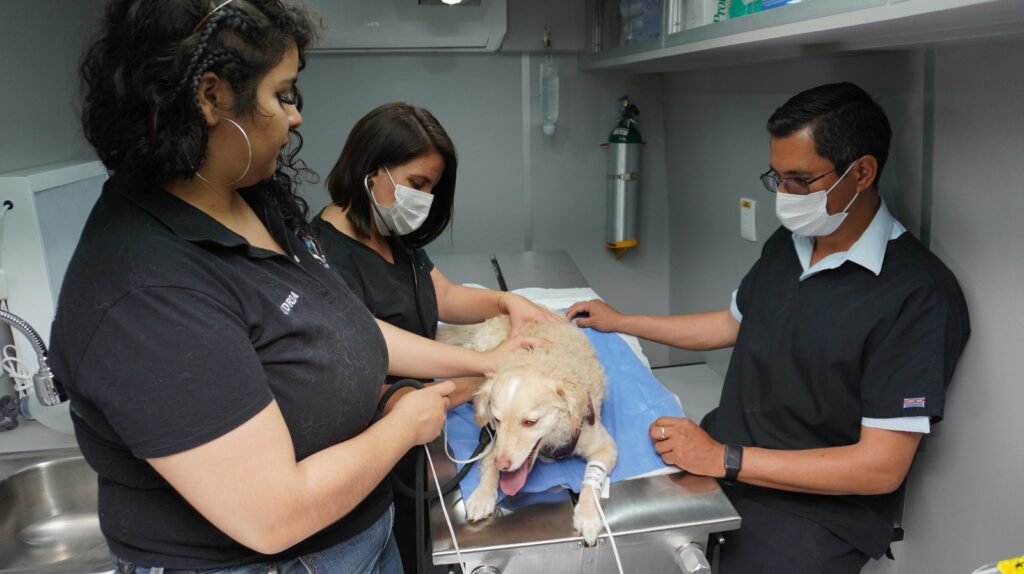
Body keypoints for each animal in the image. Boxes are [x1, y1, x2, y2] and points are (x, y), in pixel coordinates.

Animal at [438, 311, 614, 544]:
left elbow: (592, 483)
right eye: (497, 419)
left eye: (530, 422)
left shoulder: (604, 446)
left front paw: (587, 515)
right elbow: (488, 464)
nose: (503, 464)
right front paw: (482, 495)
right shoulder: (494, 439)